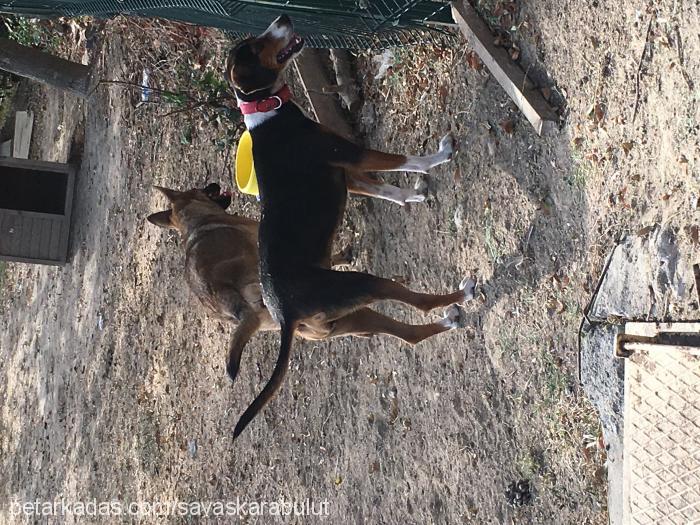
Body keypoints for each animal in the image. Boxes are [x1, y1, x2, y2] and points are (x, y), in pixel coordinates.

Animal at [227, 14, 474, 436]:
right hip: (362, 285)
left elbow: (386, 189)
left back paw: (450, 320)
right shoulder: (352, 156)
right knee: (417, 304)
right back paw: (461, 295)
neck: (266, 110)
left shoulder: (349, 174)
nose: (283, 17)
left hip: (352, 318)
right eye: (256, 44)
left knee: (410, 336)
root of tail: (285, 314)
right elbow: (403, 160)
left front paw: (412, 198)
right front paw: (437, 158)